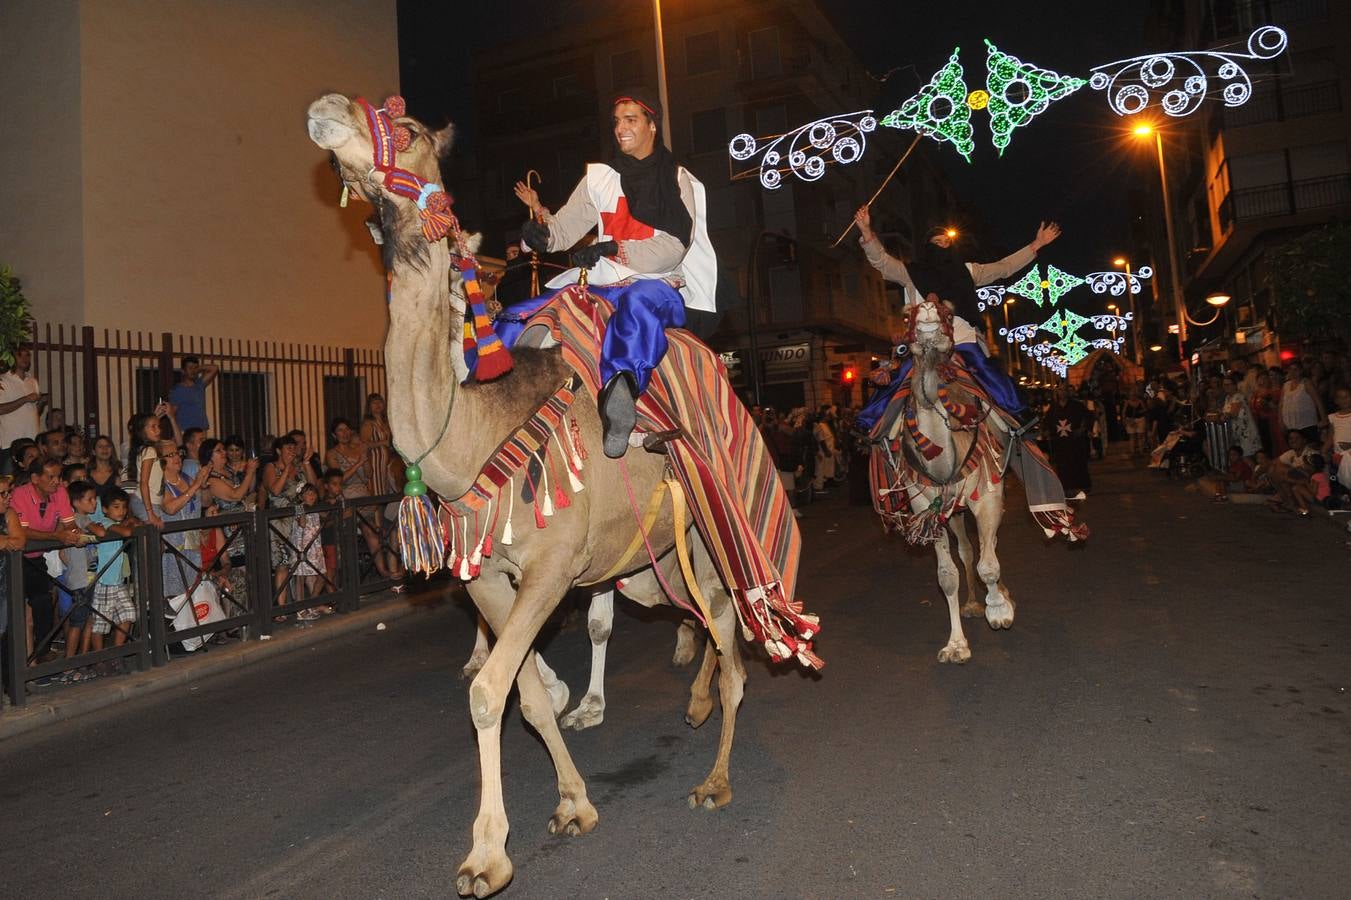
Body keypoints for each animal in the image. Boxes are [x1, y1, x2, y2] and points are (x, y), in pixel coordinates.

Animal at [303, 94, 772, 891]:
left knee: (731, 634)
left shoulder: (552, 568)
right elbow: (518, 692)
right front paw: (574, 804)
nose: (326, 110)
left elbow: (489, 692)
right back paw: (695, 702)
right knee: (701, 623)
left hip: (711, 529)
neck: (472, 437)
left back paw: (715, 779)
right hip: (656, 558)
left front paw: (485, 856)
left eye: (410, 128)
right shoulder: (489, 577)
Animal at [875, 297, 1015, 662]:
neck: (943, 462)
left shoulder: (988, 494)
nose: (927, 310)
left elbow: (988, 564)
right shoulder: (927, 507)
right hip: (953, 510)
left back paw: (1000, 596)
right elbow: (947, 575)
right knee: (966, 550)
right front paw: (956, 644)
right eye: (905, 316)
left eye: (949, 312)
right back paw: (972, 604)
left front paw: (999, 610)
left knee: (990, 546)